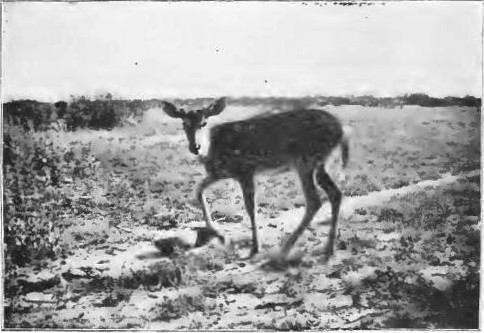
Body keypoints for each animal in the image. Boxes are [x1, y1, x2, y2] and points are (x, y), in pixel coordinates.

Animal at [161, 97, 350, 260]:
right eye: (184, 124)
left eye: (204, 123)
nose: (195, 147)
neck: (213, 149)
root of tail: (341, 130)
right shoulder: (220, 173)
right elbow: (198, 190)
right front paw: (219, 234)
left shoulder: (245, 170)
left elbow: (250, 207)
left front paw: (255, 248)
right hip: (319, 163)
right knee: (335, 193)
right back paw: (328, 248)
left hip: (305, 160)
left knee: (314, 200)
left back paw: (286, 248)